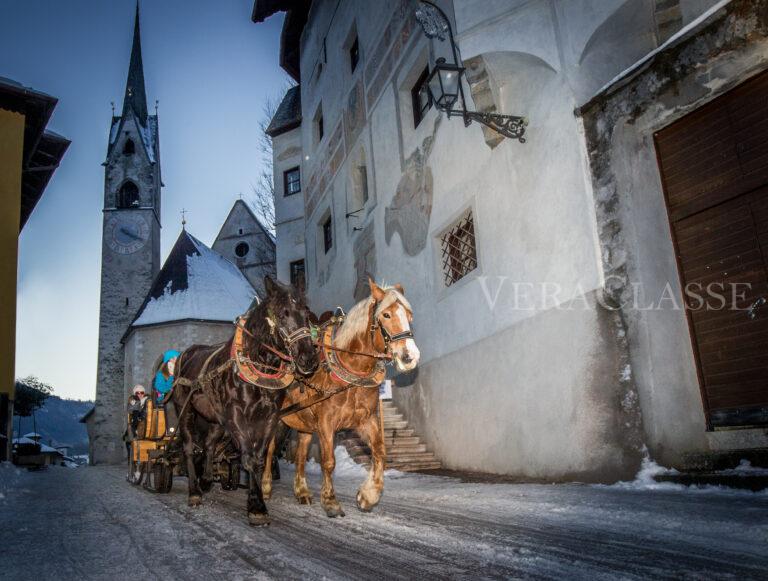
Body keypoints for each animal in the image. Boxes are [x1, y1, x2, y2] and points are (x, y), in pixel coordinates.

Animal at [172, 276, 318, 524]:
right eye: (283, 313)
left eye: (306, 313)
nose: (309, 358)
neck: (258, 364)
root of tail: (186, 354)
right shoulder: (236, 416)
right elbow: (248, 458)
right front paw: (257, 505)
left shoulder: (268, 416)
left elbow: (258, 459)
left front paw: (256, 499)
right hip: (186, 410)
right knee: (190, 447)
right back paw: (194, 491)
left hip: (215, 418)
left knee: (209, 444)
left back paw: (206, 479)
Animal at [262, 278, 420, 516]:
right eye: (386, 315)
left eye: (409, 315)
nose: (410, 356)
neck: (351, 370)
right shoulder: (327, 424)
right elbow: (328, 462)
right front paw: (330, 501)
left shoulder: (367, 420)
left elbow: (380, 453)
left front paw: (368, 496)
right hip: (276, 421)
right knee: (269, 451)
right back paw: (264, 488)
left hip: (304, 424)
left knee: (300, 455)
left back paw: (302, 492)